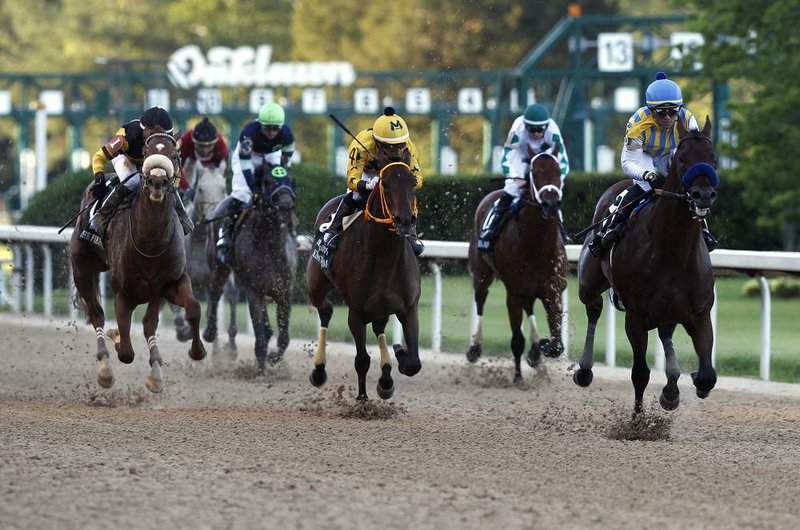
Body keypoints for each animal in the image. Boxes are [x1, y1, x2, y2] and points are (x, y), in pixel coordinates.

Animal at [69, 129, 206, 390]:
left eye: (175, 156)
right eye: (145, 151)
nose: (157, 181)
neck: (150, 243)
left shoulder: (170, 284)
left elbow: (191, 309)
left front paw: (196, 352)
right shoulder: (124, 292)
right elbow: (126, 351)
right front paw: (116, 341)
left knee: (146, 322)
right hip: (81, 267)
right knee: (96, 313)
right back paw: (105, 367)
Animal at [202, 164, 298, 372]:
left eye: (291, 180)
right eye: (268, 182)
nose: (286, 206)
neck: (270, 246)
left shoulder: (284, 291)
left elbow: (284, 337)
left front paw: (273, 357)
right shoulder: (253, 290)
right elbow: (260, 333)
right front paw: (261, 369)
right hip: (219, 266)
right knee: (214, 292)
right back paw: (209, 332)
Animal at [304, 155, 422, 402]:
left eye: (413, 183)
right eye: (384, 184)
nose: (405, 221)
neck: (385, 258)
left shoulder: (408, 307)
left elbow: (414, 363)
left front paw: (399, 355)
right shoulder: (356, 312)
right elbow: (362, 360)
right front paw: (362, 399)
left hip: (381, 307)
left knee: (378, 326)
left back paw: (387, 373)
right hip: (315, 284)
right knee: (326, 309)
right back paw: (319, 370)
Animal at [462, 151, 568, 382]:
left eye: (558, 171)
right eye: (534, 174)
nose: (550, 205)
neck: (536, 244)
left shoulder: (552, 290)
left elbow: (557, 345)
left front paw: (541, 347)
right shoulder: (514, 292)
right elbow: (517, 339)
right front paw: (518, 376)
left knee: (529, 307)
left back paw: (536, 350)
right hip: (481, 273)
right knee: (480, 300)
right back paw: (475, 349)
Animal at [576, 117, 720, 410]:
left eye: (713, 158)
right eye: (682, 159)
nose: (703, 195)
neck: (673, 251)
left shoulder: (700, 314)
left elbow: (708, 376)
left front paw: (679, 388)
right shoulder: (635, 316)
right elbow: (640, 373)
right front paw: (638, 418)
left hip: (668, 311)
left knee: (665, 332)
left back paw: (672, 384)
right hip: (588, 281)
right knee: (593, 307)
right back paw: (584, 369)